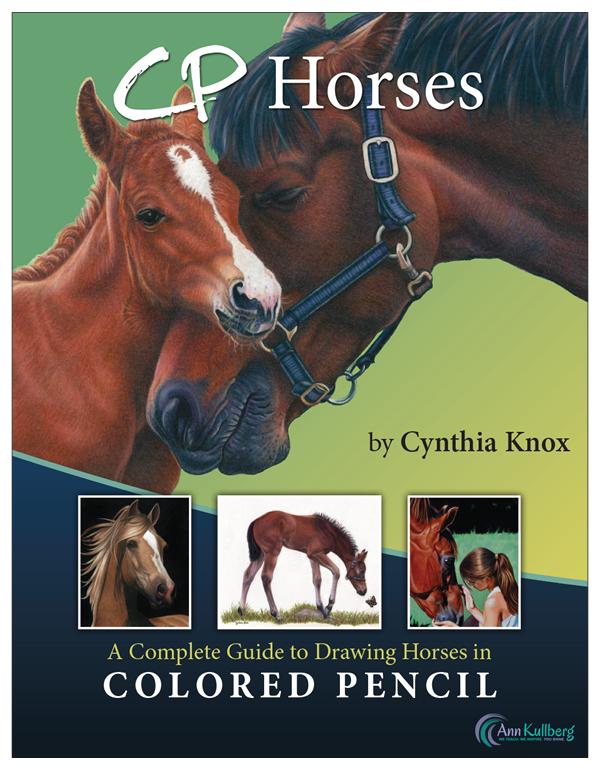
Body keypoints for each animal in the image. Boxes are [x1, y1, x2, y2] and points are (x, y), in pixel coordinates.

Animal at [238, 511, 368, 619]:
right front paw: (328, 606)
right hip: (272, 552)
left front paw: (322, 610)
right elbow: (336, 571)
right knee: (266, 577)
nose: (364, 591)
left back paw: (241, 610)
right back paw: (276, 613)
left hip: (261, 554)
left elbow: (317, 579)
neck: (328, 530)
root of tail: (256, 521)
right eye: (362, 570)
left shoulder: (312, 557)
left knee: (248, 575)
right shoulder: (316, 553)